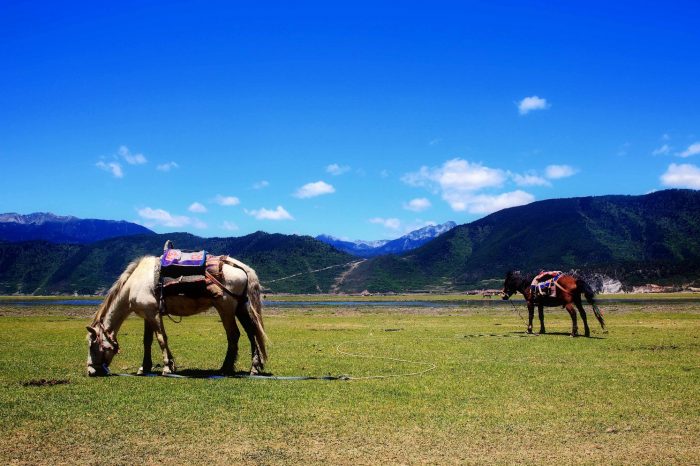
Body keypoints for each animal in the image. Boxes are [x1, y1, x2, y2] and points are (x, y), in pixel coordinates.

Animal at [85, 256, 266, 376]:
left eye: (92, 345)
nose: (91, 370)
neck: (133, 285)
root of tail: (239, 267)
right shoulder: (147, 315)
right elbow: (147, 341)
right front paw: (145, 367)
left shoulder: (153, 313)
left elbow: (161, 338)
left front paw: (166, 367)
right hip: (240, 308)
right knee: (251, 333)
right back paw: (254, 367)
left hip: (226, 308)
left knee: (234, 335)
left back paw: (225, 369)